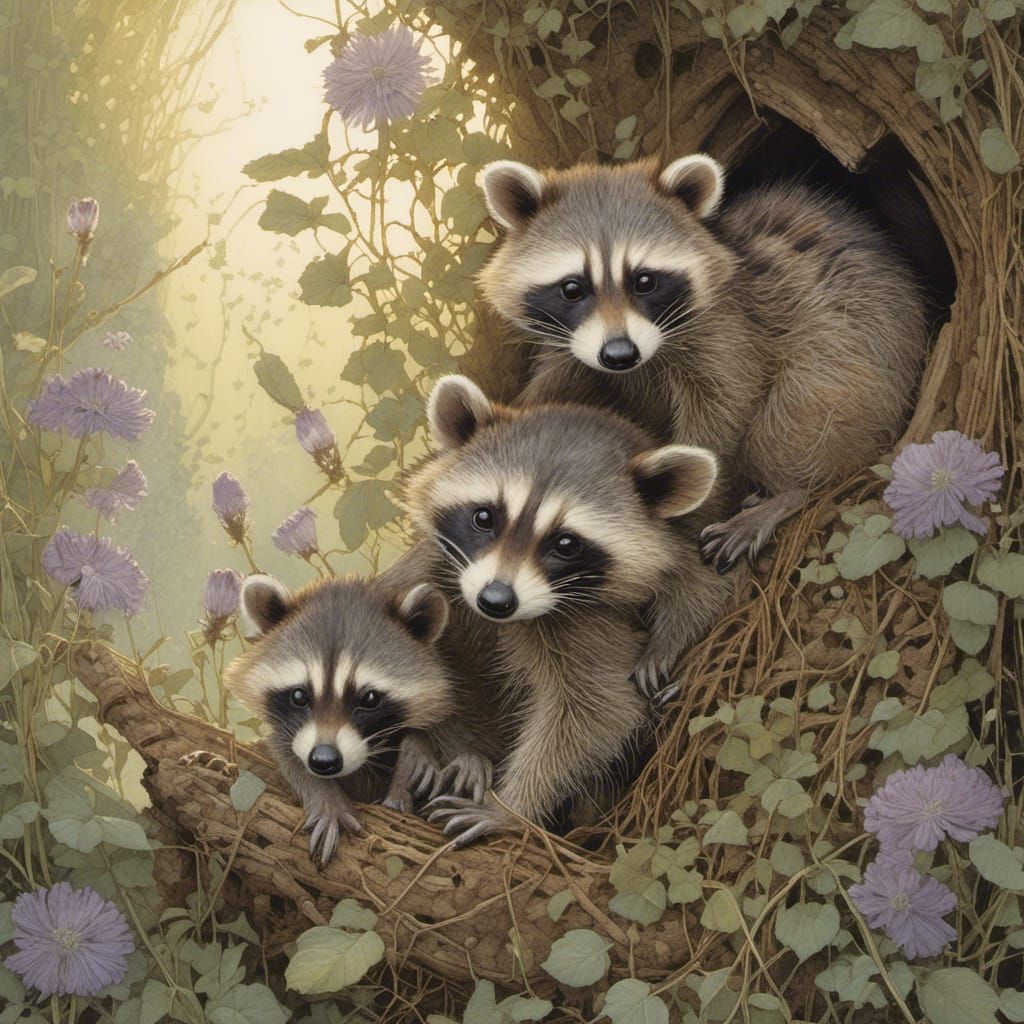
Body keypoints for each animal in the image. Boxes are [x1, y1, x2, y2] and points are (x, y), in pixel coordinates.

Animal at [225, 572, 462, 865]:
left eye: (369, 699)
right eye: (299, 696)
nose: (323, 761)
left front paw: (414, 753)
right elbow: (282, 750)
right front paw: (325, 798)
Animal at [407, 374, 719, 844]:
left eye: (566, 543)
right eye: (485, 517)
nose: (495, 601)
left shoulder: (585, 624)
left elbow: (596, 711)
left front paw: (510, 808)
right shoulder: (437, 577)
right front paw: (466, 754)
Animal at [477, 155, 926, 685]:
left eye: (644, 280)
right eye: (572, 287)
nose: (619, 354)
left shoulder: (730, 328)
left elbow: (726, 413)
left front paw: (688, 514)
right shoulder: (572, 353)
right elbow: (553, 391)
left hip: (865, 353)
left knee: (800, 414)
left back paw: (788, 489)